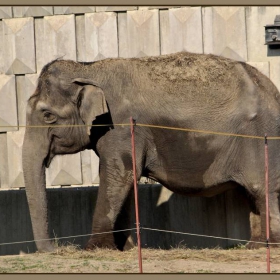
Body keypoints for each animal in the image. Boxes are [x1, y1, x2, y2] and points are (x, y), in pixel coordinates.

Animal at [22, 51, 280, 253]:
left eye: (47, 115)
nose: (55, 249)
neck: (88, 67)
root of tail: (273, 91)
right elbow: (125, 179)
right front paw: (125, 248)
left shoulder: (122, 126)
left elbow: (119, 175)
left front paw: (95, 249)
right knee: (251, 191)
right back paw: (256, 246)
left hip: (261, 138)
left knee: (261, 189)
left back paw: (271, 245)